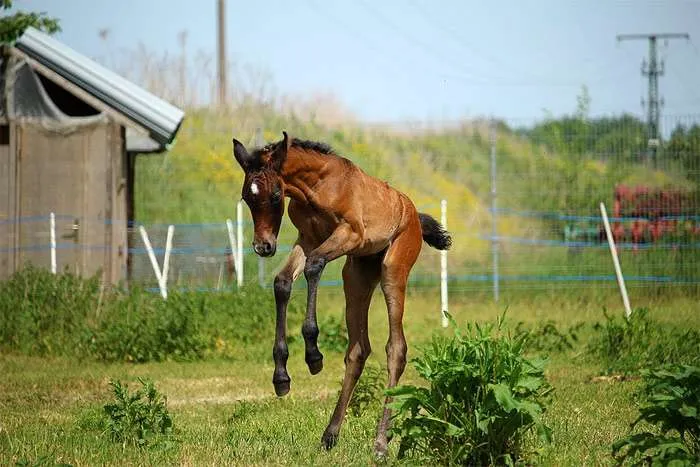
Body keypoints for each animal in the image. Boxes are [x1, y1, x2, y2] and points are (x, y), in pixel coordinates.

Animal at [232, 131, 452, 458]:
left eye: (275, 196)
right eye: (247, 197)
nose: (263, 246)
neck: (318, 187)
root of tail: (413, 214)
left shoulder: (349, 234)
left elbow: (314, 266)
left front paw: (313, 355)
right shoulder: (308, 238)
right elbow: (282, 282)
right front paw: (282, 377)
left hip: (392, 272)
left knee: (396, 349)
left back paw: (380, 443)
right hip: (357, 276)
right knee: (358, 350)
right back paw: (330, 434)